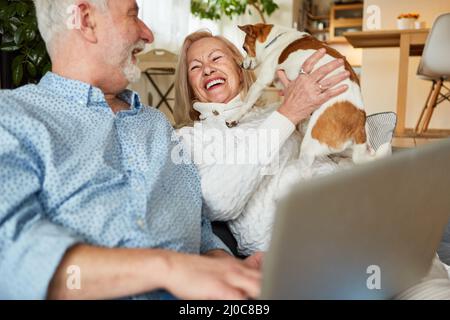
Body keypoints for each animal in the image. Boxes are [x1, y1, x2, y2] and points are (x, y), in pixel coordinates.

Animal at [230, 23, 388, 166]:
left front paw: (233, 119)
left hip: (310, 144)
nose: (241, 65)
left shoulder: (262, 82)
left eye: (244, 47)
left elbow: (246, 104)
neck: (275, 39)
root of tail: (358, 123)